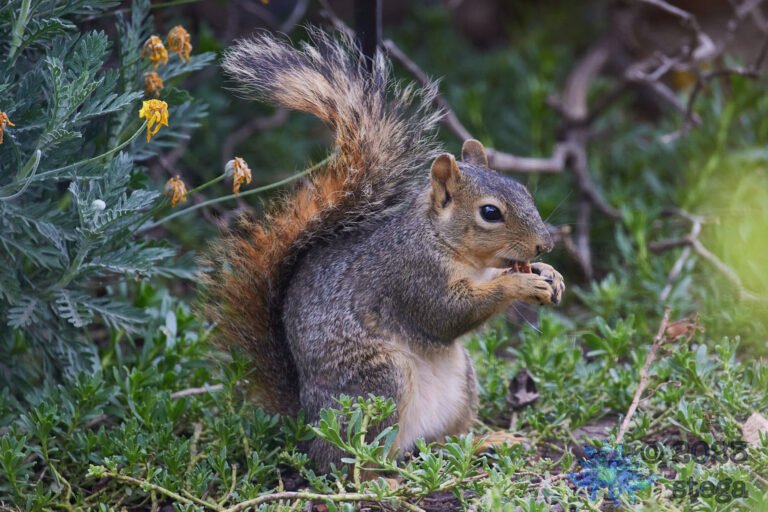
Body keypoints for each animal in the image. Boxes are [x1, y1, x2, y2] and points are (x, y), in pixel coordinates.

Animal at [204, 29, 565, 472]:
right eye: (490, 212)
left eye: (525, 192)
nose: (545, 243)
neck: (444, 242)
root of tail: (307, 424)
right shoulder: (411, 274)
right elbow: (447, 314)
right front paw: (520, 285)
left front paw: (549, 273)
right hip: (377, 384)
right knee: (349, 461)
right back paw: (382, 476)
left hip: (460, 386)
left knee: (437, 444)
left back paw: (484, 441)